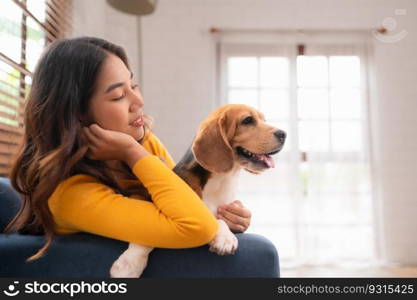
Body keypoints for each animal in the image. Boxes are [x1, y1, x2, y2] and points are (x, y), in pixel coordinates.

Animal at [109, 104, 286, 278]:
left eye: (264, 120)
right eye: (248, 120)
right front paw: (128, 264)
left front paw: (225, 238)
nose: (283, 134)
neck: (221, 180)